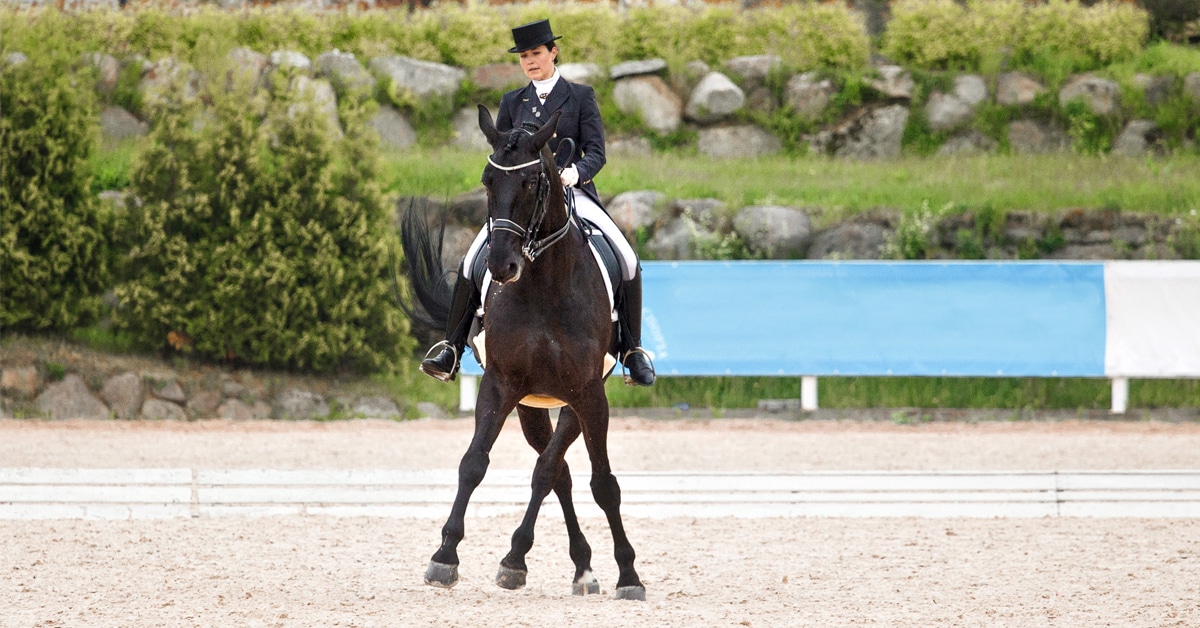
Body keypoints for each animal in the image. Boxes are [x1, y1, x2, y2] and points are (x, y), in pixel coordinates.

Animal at [398, 104, 646, 601]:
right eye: (487, 180)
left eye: (532, 182)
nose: (500, 266)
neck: (544, 286)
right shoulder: (502, 385)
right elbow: (474, 463)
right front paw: (445, 556)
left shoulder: (589, 394)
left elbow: (598, 482)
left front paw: (628, 575)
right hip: (533, 404)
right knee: (559, 472)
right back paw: (578, 567)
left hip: (574, 401)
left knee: (556, 468)